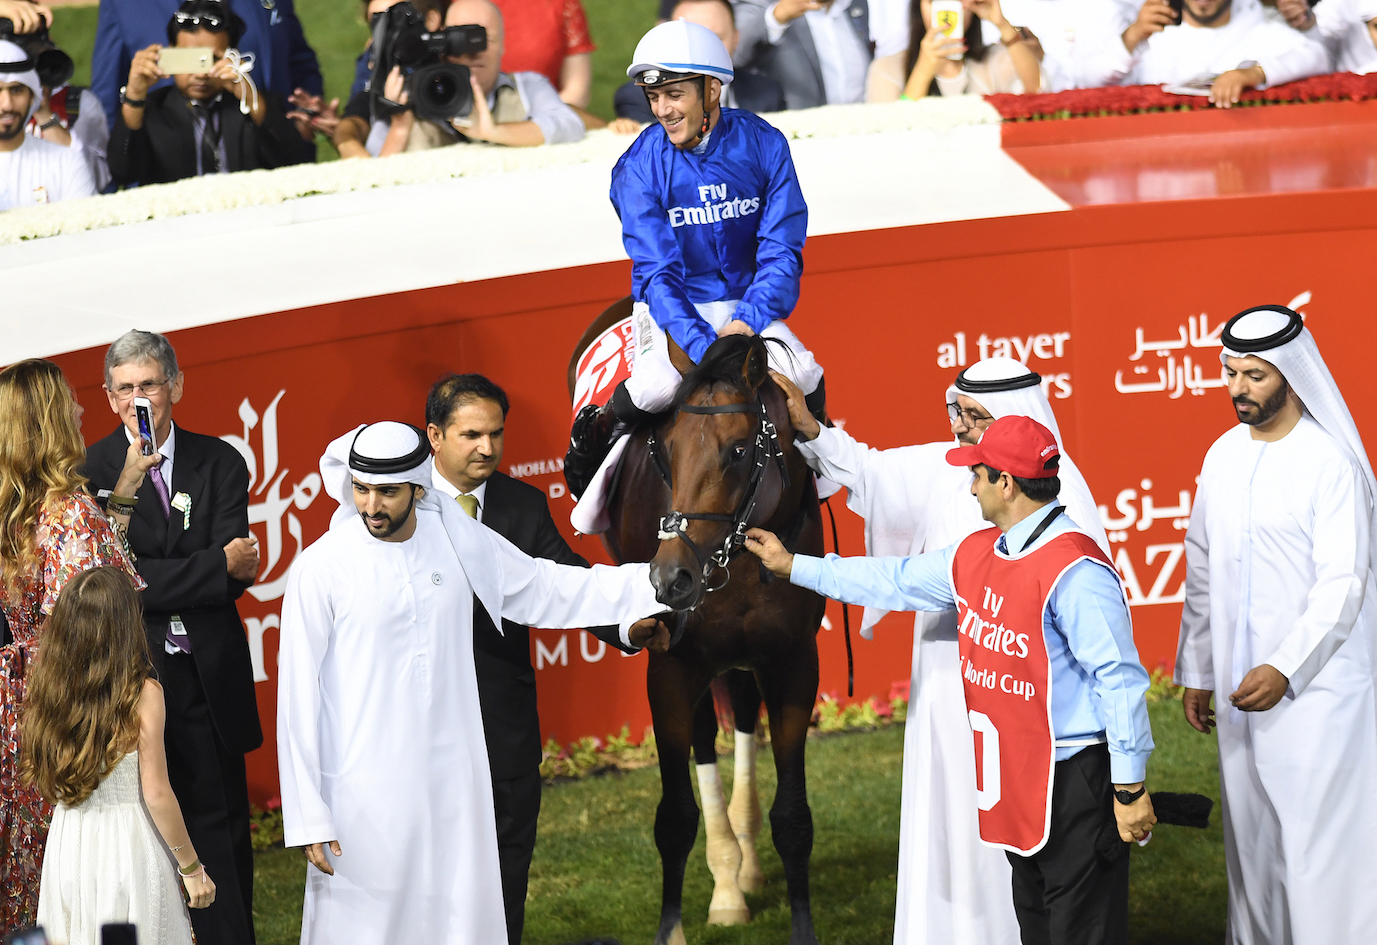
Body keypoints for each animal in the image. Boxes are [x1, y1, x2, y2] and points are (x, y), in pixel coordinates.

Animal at [564, 305, 820, 945]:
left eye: (738, 451)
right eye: (665, 450)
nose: (670, 577)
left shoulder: (793, 662)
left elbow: (794, 817)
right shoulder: (672, 664)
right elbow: (675, 816)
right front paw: (676, 927)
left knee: (742, 714)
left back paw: (744, 866)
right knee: (706, 735)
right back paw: (727, 883)